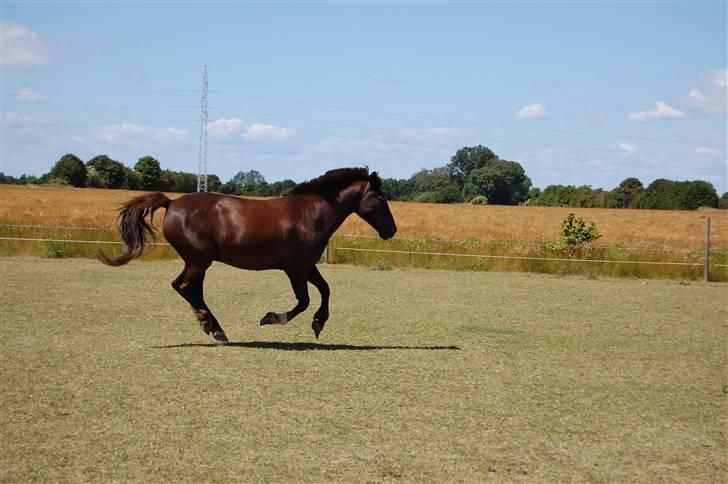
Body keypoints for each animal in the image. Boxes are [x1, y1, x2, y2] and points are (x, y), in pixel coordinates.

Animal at [99, 168, 396, 342]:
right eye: (380, 198)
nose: (391, 230)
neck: (310, 213)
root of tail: (171, 203)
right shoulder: (295, 268)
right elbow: (303, 301)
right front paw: (272, 318)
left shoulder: (306, 266)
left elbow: (325, 289)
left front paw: (318, 323)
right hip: (198, 261)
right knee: (183, 286)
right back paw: (214, 328)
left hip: (198, 263)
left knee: (190, 289)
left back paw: (212, 326)